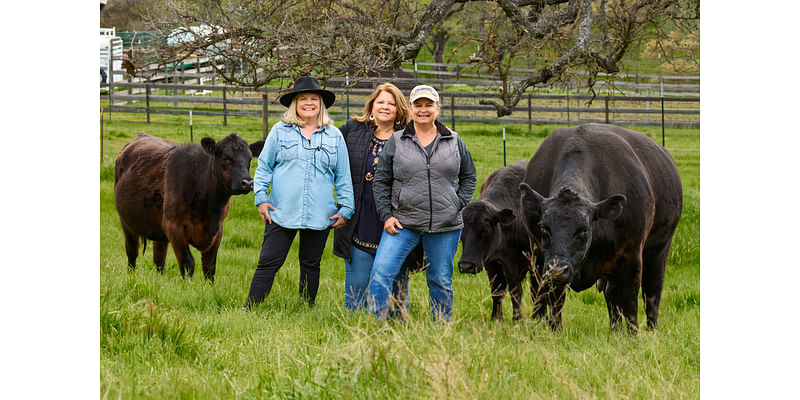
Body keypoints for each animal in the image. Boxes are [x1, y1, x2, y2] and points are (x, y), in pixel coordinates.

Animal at [114, 132, 264, 282]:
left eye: (249, 159)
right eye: (226, 158)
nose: (247, 183)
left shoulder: (217, 231)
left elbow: (209, 266)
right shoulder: (174, 227)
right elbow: (188, 263)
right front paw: (188, 285)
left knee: (159, 258)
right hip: (126, 222)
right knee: (132, 253)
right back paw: (131, 277)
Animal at [460, 161, 536, 320]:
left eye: (486, 228)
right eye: (460, 230)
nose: (466, 266)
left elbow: (516, 290)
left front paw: (518, 318)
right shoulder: (491, 262)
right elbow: (497, 290)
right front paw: (496, 317)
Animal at [520, 124, 680, 332]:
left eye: (584, 229)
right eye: (544, 228)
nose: (557, 269)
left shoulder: (631, 256)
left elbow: (630, 302)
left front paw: (633, 335)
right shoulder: (540, 257)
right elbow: (552, 299)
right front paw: (553, 330)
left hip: (659, 251)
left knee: (652, 294)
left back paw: (650, 330)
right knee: (610, 296)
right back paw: (615, 330)